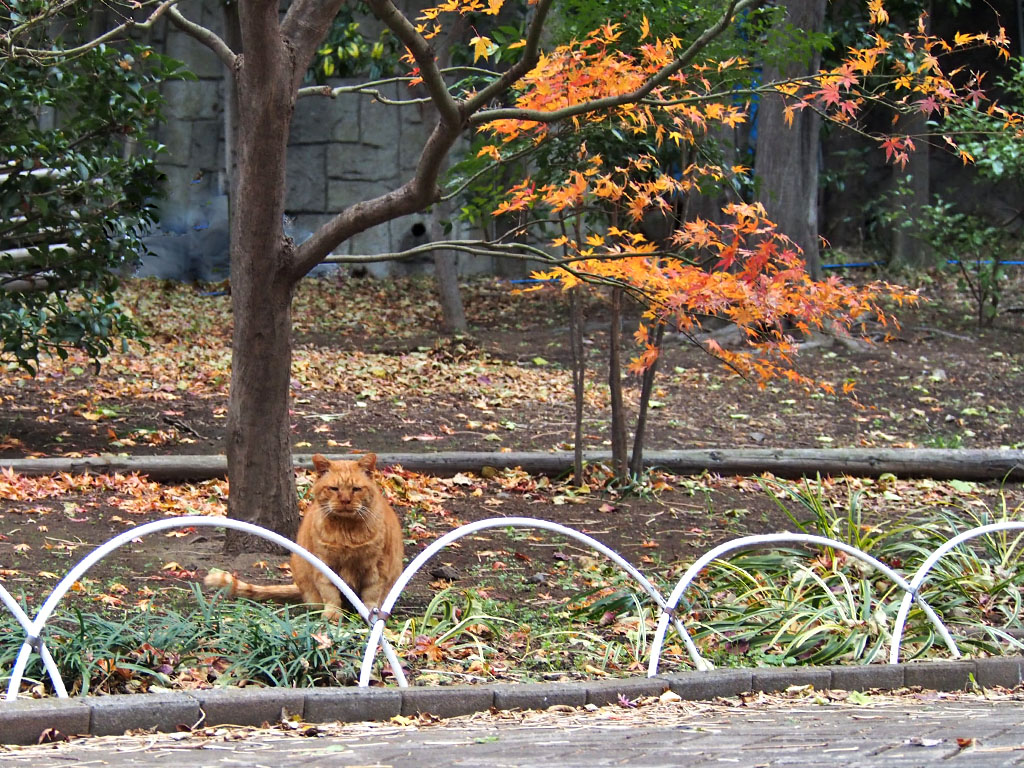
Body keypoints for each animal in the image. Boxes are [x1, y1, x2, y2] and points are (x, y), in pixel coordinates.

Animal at [203, 454, 403, 622]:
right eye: (334, 489)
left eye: (356, 489)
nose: (345, 500)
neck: (346, 531)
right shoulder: (324, 565)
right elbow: (330, 594)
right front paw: (332, 614)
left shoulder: (376, 567)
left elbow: (371, 595)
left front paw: (370, 615)